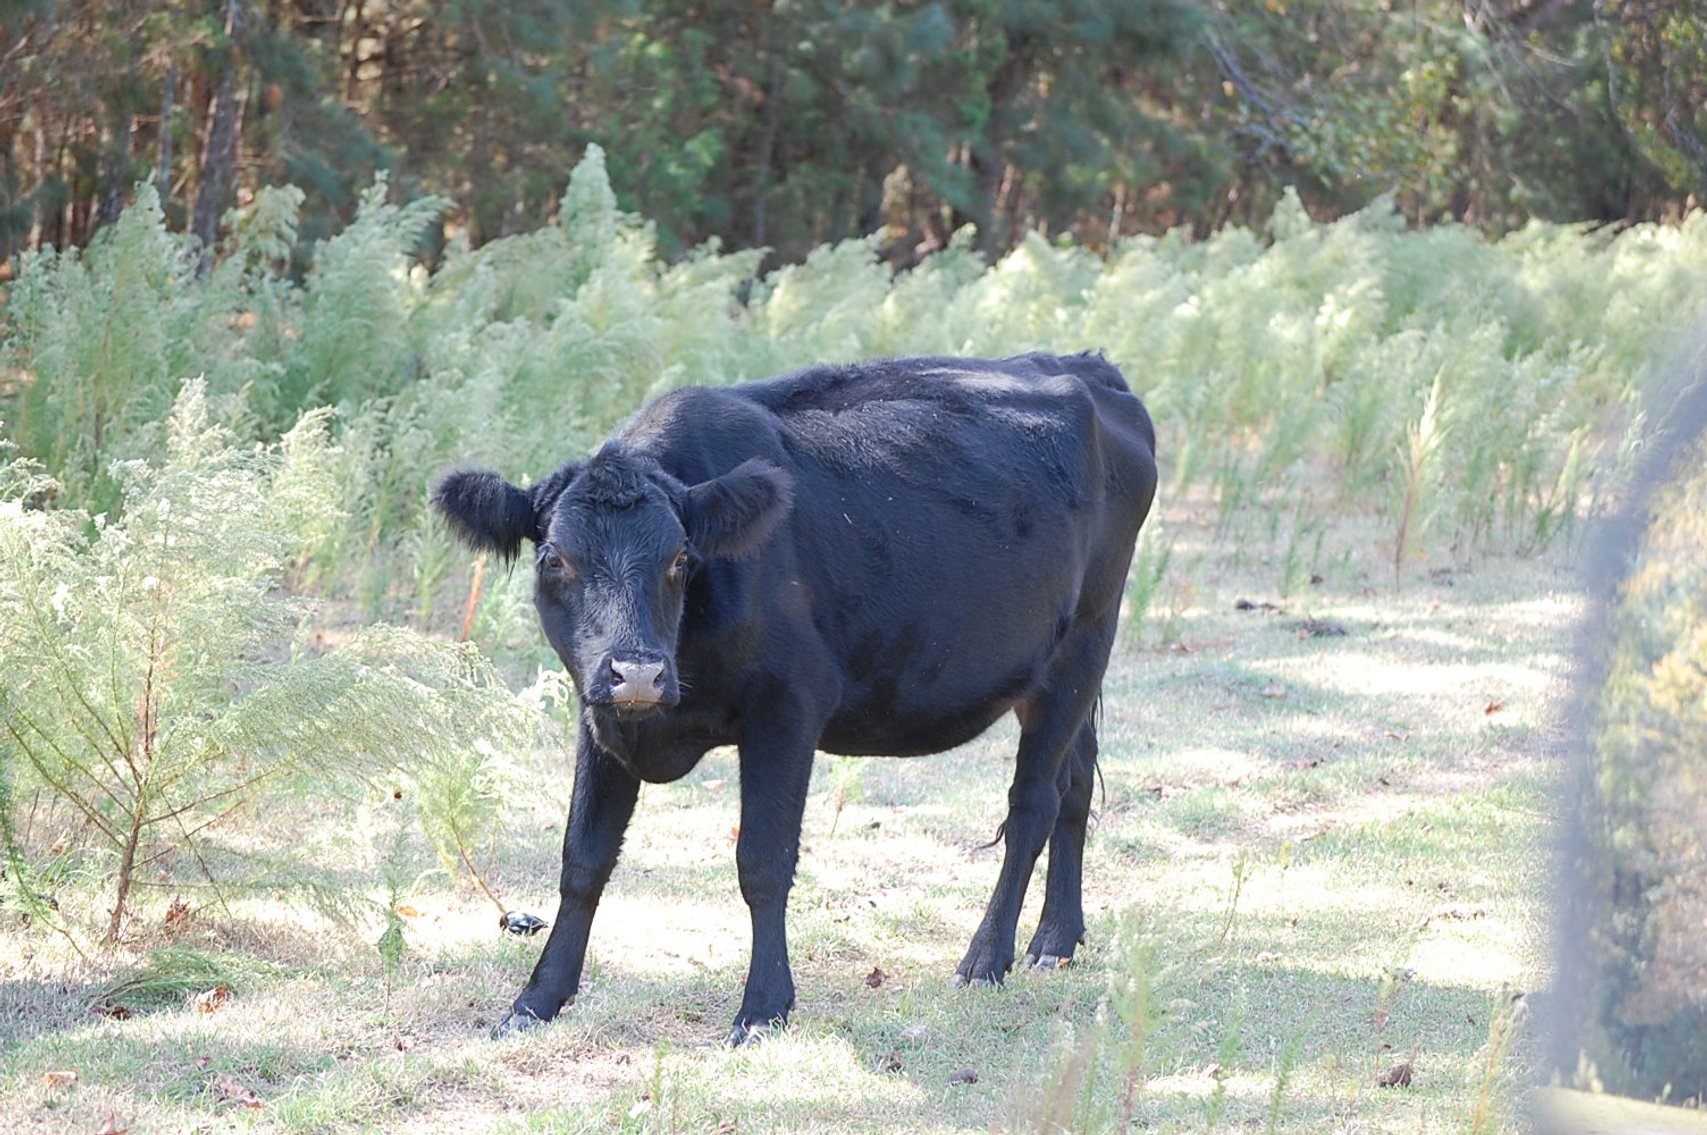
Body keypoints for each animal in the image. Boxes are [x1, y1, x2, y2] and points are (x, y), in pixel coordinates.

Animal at [433, 351, 1158, 1045]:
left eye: (680, 559)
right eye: (553, 558)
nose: (637, 673)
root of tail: (1086, 366)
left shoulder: (788, 707)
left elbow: (762, 859)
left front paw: (762, 1009)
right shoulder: (601, 718)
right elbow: (583, 857)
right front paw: (535, 1000)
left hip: (1084, 641)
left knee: (1033, 803)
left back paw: (987, 958)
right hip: (1057, 670)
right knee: (1075, 784)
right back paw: (1056, 939)